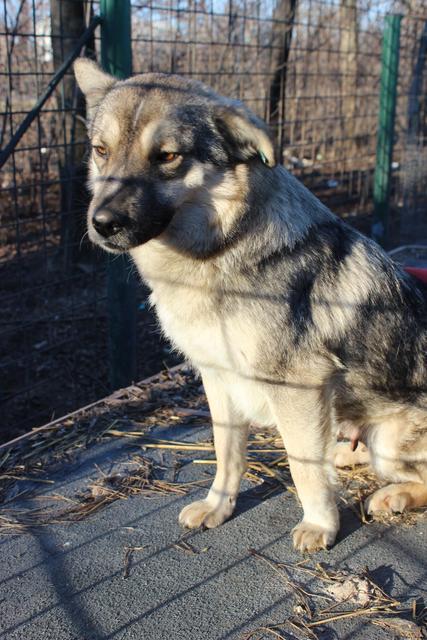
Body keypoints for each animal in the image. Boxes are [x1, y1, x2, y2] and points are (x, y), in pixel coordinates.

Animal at [74, 57, 427, 552]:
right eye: (101, 150)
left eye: (167, 157)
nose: (102, 224)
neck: (217, 252)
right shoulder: (217, 379)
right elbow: (228, 455)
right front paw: (218, 506)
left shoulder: (296, 388)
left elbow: (302, 465)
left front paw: (320, 525)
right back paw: (343, 455)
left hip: (391, 442)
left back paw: (391, 495)